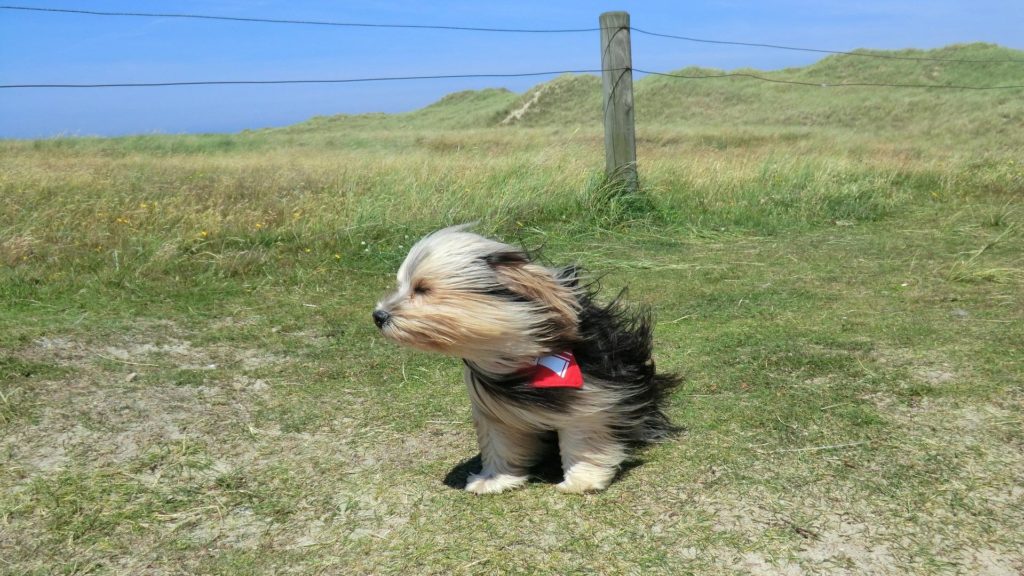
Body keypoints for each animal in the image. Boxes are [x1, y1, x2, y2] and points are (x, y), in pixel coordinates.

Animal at [372, 225, 675, 494]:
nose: (378, 316)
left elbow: (583, 436)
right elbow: (500, 442)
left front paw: (582, 480)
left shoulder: (592, 396)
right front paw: (494, 479)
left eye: (422, 289)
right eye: (401, 286)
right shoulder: (493, 409)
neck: (519, 353)